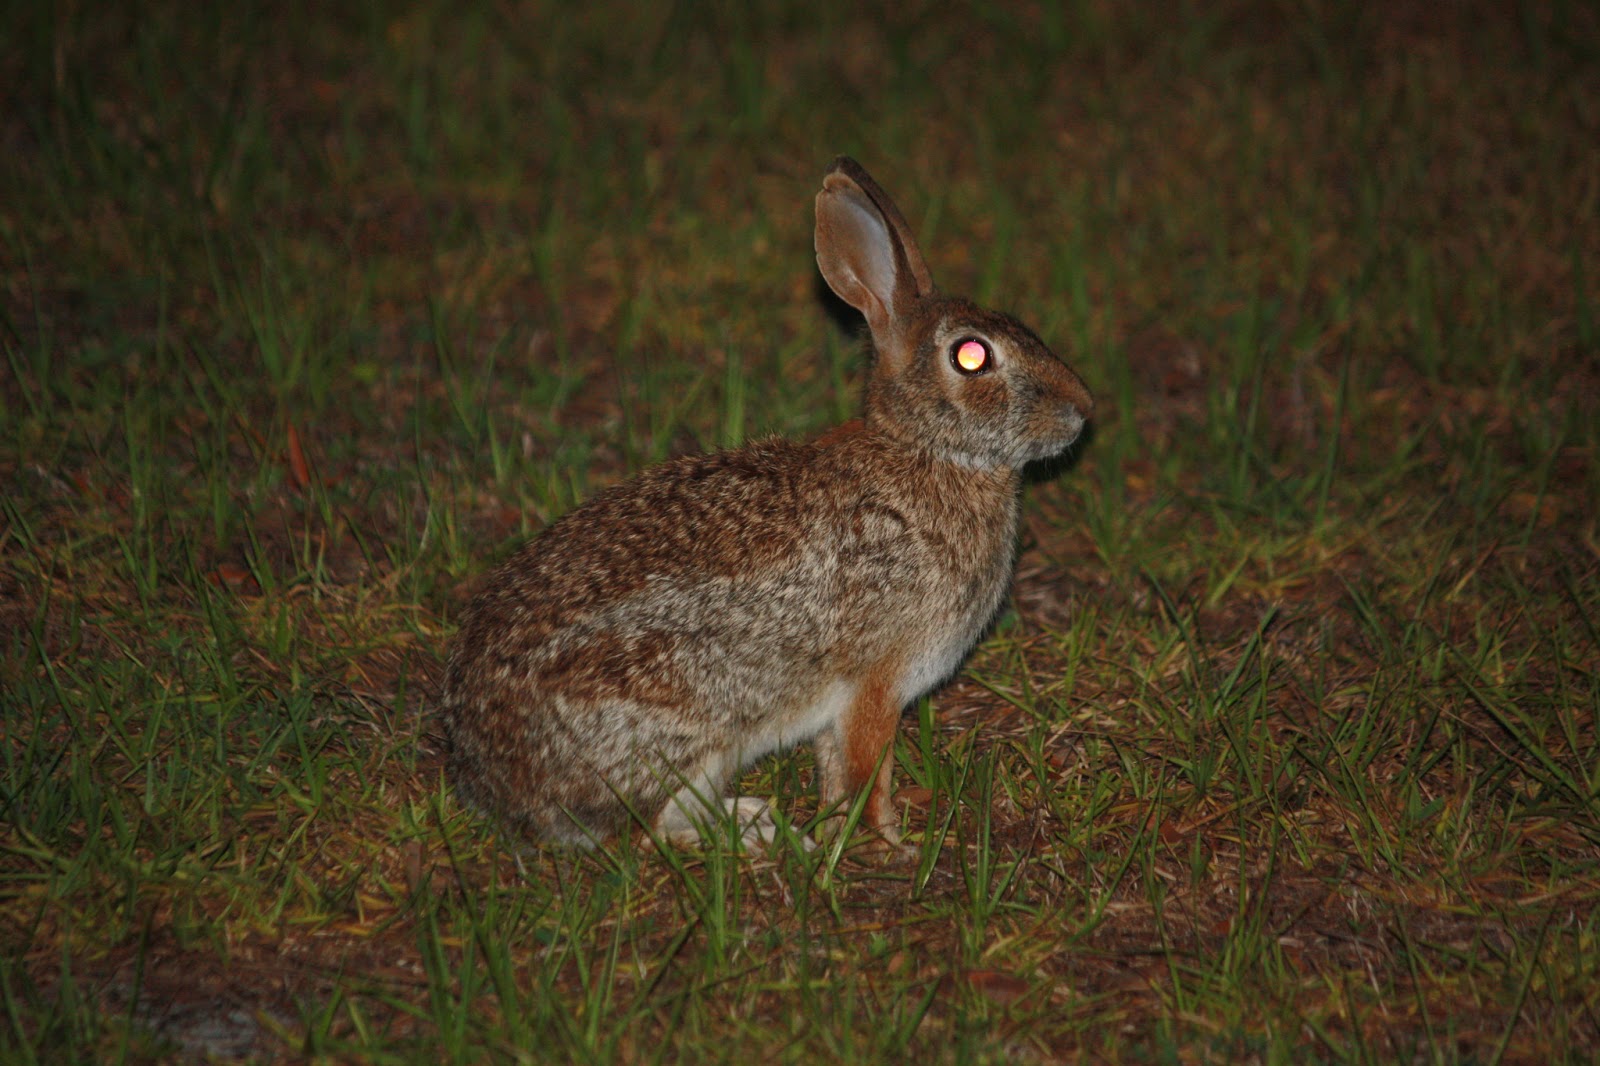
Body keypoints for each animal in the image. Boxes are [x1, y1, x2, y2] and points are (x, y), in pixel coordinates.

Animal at [441, 157, 1093, 850]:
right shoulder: (877, 679)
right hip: (687, 729)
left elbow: (837, 765)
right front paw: (888, 841)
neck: (927, 450)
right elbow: (869, 766)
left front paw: (846, 821)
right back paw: (763, 835)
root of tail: (491, 779)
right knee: (646, 834)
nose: (1082, 409)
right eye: (972, 356)